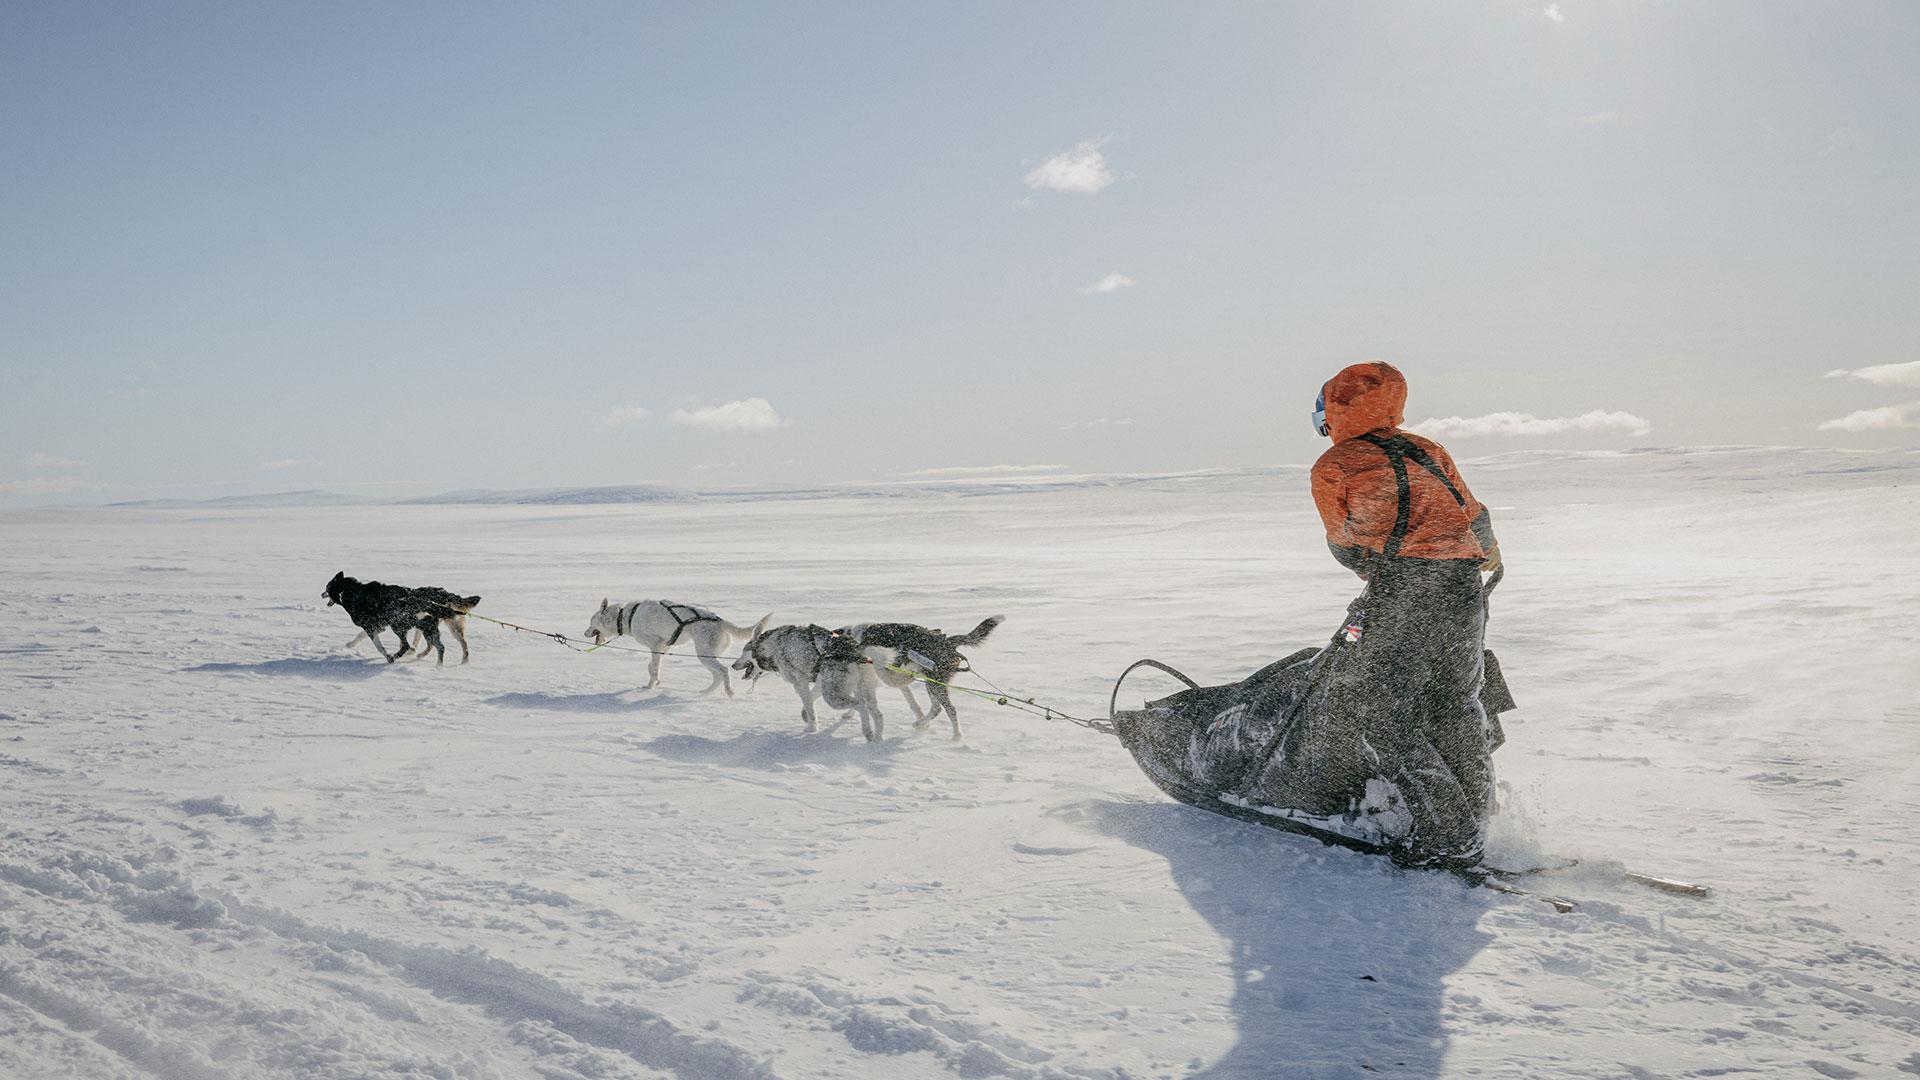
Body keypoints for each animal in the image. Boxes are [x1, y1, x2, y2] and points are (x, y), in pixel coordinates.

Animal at [322, 568, 480, 661]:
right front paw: (351, 644)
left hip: (402, 625)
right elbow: (361, 636)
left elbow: (378, 645)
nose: (321, 594)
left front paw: (388, 656)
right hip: (434, 625)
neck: (349, 591)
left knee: (411, 644)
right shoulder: (378, 626)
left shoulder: (370, 626)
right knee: (437, 643)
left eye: (327, 587)